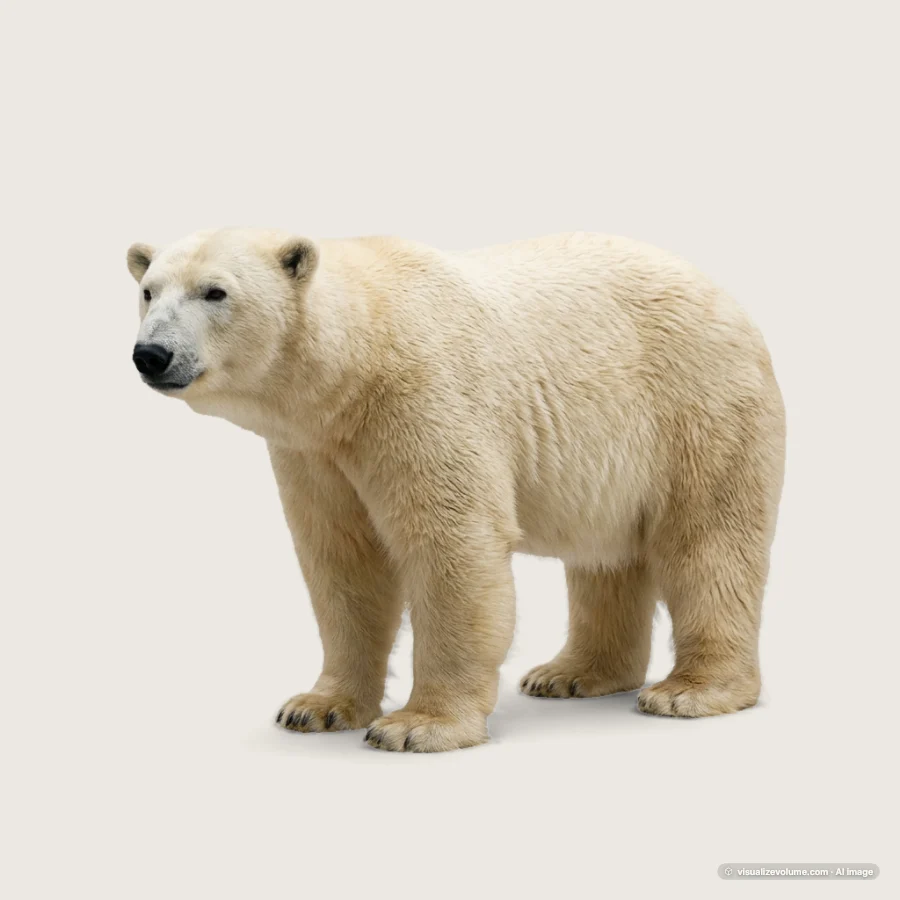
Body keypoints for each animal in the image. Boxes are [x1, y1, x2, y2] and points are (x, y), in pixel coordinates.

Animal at [127, 228, 785, 752]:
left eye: (215, 292)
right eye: (149, 290)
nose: (151, 353)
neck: (358, 359)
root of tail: (729, 299)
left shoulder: (422, 399)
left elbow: (452, 547)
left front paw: (417, 726)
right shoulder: (315, 452)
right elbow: (343, 563)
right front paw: (315, 708)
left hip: (696, 406)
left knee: (709, 543)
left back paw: (689, 691)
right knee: (606, 558)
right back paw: (569, 674)